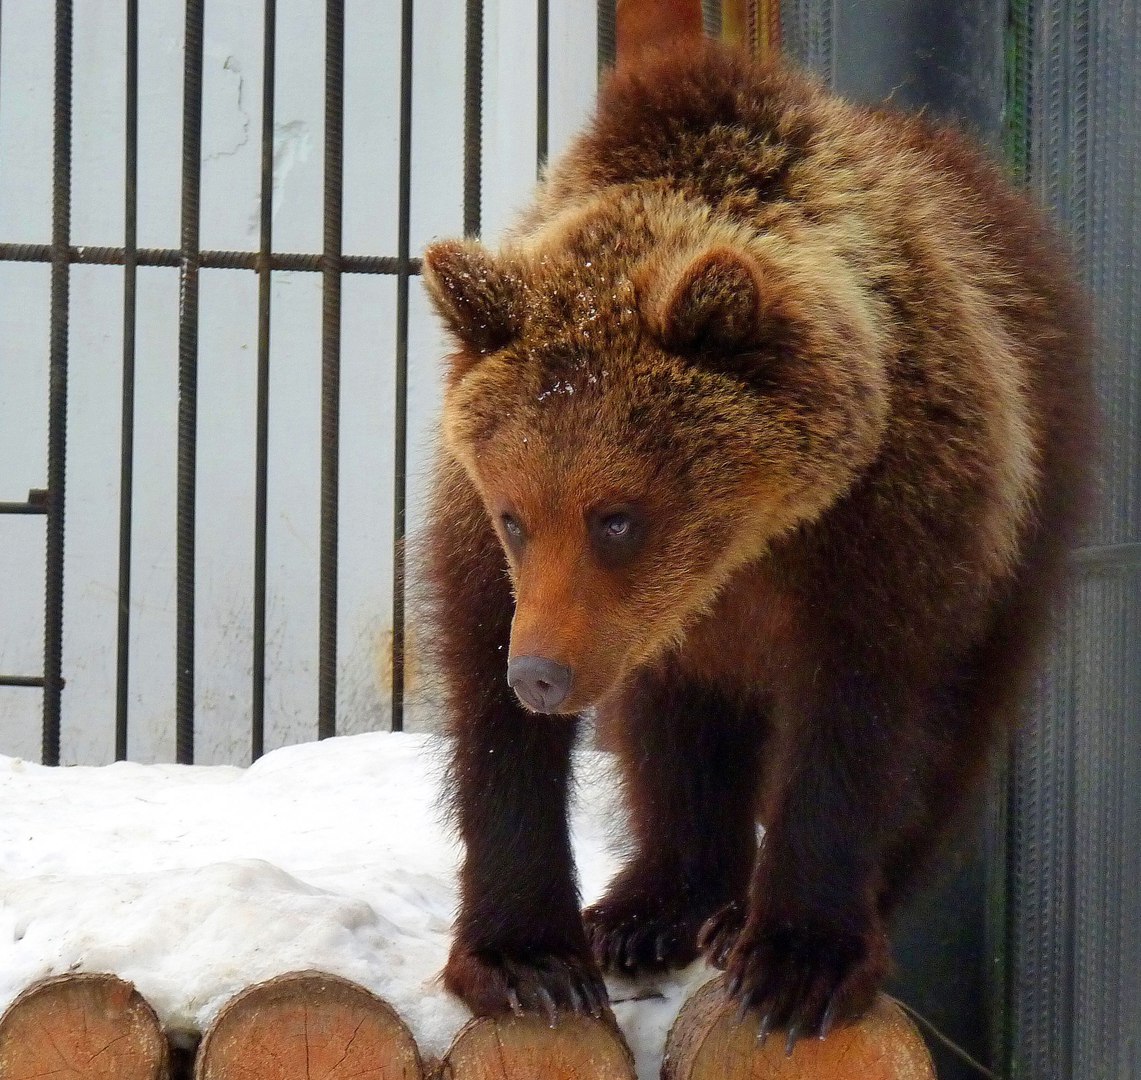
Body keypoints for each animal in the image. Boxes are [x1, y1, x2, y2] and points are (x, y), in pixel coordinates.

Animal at [419, 37, 1095, 1044]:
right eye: (515, 514)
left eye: (617, 516)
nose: (540, 674)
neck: (746, 546)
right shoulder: (510, 565)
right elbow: (493, 712)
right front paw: (529, 960)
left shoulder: (894, 518)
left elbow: (861, 721)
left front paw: (796, 961)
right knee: (675, 734)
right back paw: (650, 907)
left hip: (1025, 524)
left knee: (948, 739)